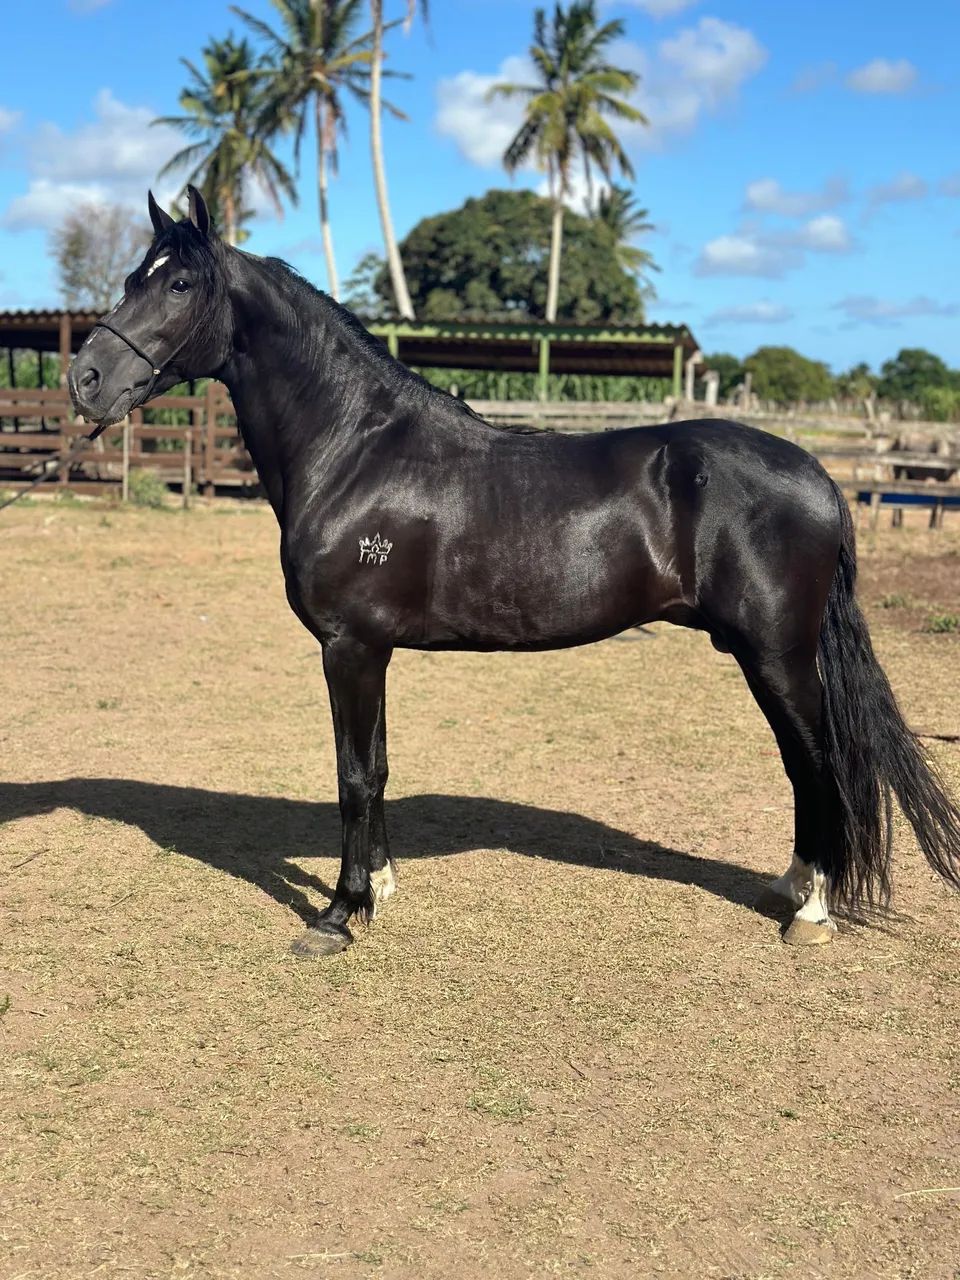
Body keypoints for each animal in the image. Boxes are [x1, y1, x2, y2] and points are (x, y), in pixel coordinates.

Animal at [68, 188, 960, 958]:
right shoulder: (371, 650)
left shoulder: (348, 647)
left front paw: (339, 912)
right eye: (133, 277)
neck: (355, 449)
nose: (84, 379)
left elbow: (353, 774)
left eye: (179, 283)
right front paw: (379, 888)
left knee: (818, 759)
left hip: (777, 653)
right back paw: (791, 888)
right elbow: (378, 766)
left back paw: (810, 912)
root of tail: (818, 476)